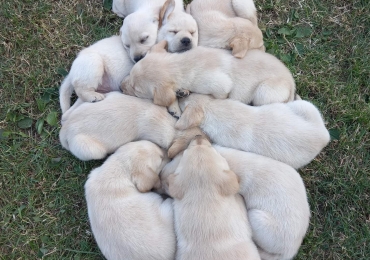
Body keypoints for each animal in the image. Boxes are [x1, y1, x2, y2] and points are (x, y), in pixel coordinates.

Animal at [121, 40, 294, 116]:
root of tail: (292, 82)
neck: (180, 65)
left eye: (136, 90)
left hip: (264, 92)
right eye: (130, 74)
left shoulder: (221, 86)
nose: (120, 87)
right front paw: (180, 95)